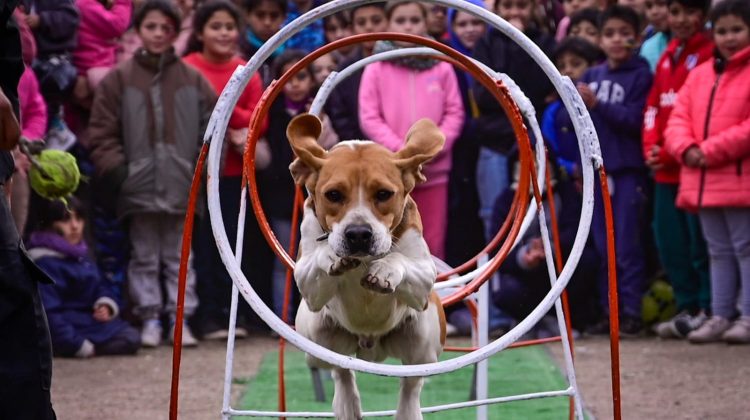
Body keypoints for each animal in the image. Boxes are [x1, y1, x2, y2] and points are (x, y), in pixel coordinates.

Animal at [290, 112, 450, 420]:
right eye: (333, 195)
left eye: (384, 194)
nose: (358, 234)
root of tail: (370, 346)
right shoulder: (305, 280)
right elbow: (317, 261)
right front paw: (332, 255)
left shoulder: (424, 279)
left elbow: (400, 259)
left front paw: (384, 271)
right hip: (314, 337)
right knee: (339, 368)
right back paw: (348, 404)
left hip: (425, 338)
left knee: (411, 382)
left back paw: (407, 410)